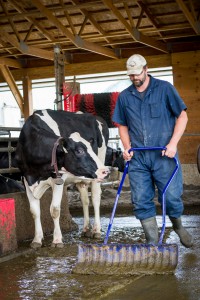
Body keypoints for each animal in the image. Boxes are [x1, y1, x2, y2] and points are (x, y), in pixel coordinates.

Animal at [15, 109, 109, 248]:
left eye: (91, 149)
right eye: (79, 151)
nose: (105, 171)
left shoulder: (59, 180)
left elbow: (54, 209)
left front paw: (57, 240)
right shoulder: (26, 180)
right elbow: (34, 211)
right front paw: (37, 239)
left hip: (99, 168)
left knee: (96, 198)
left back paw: (96, 230)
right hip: (82, 178)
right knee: (85, 199)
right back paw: (86, 229)